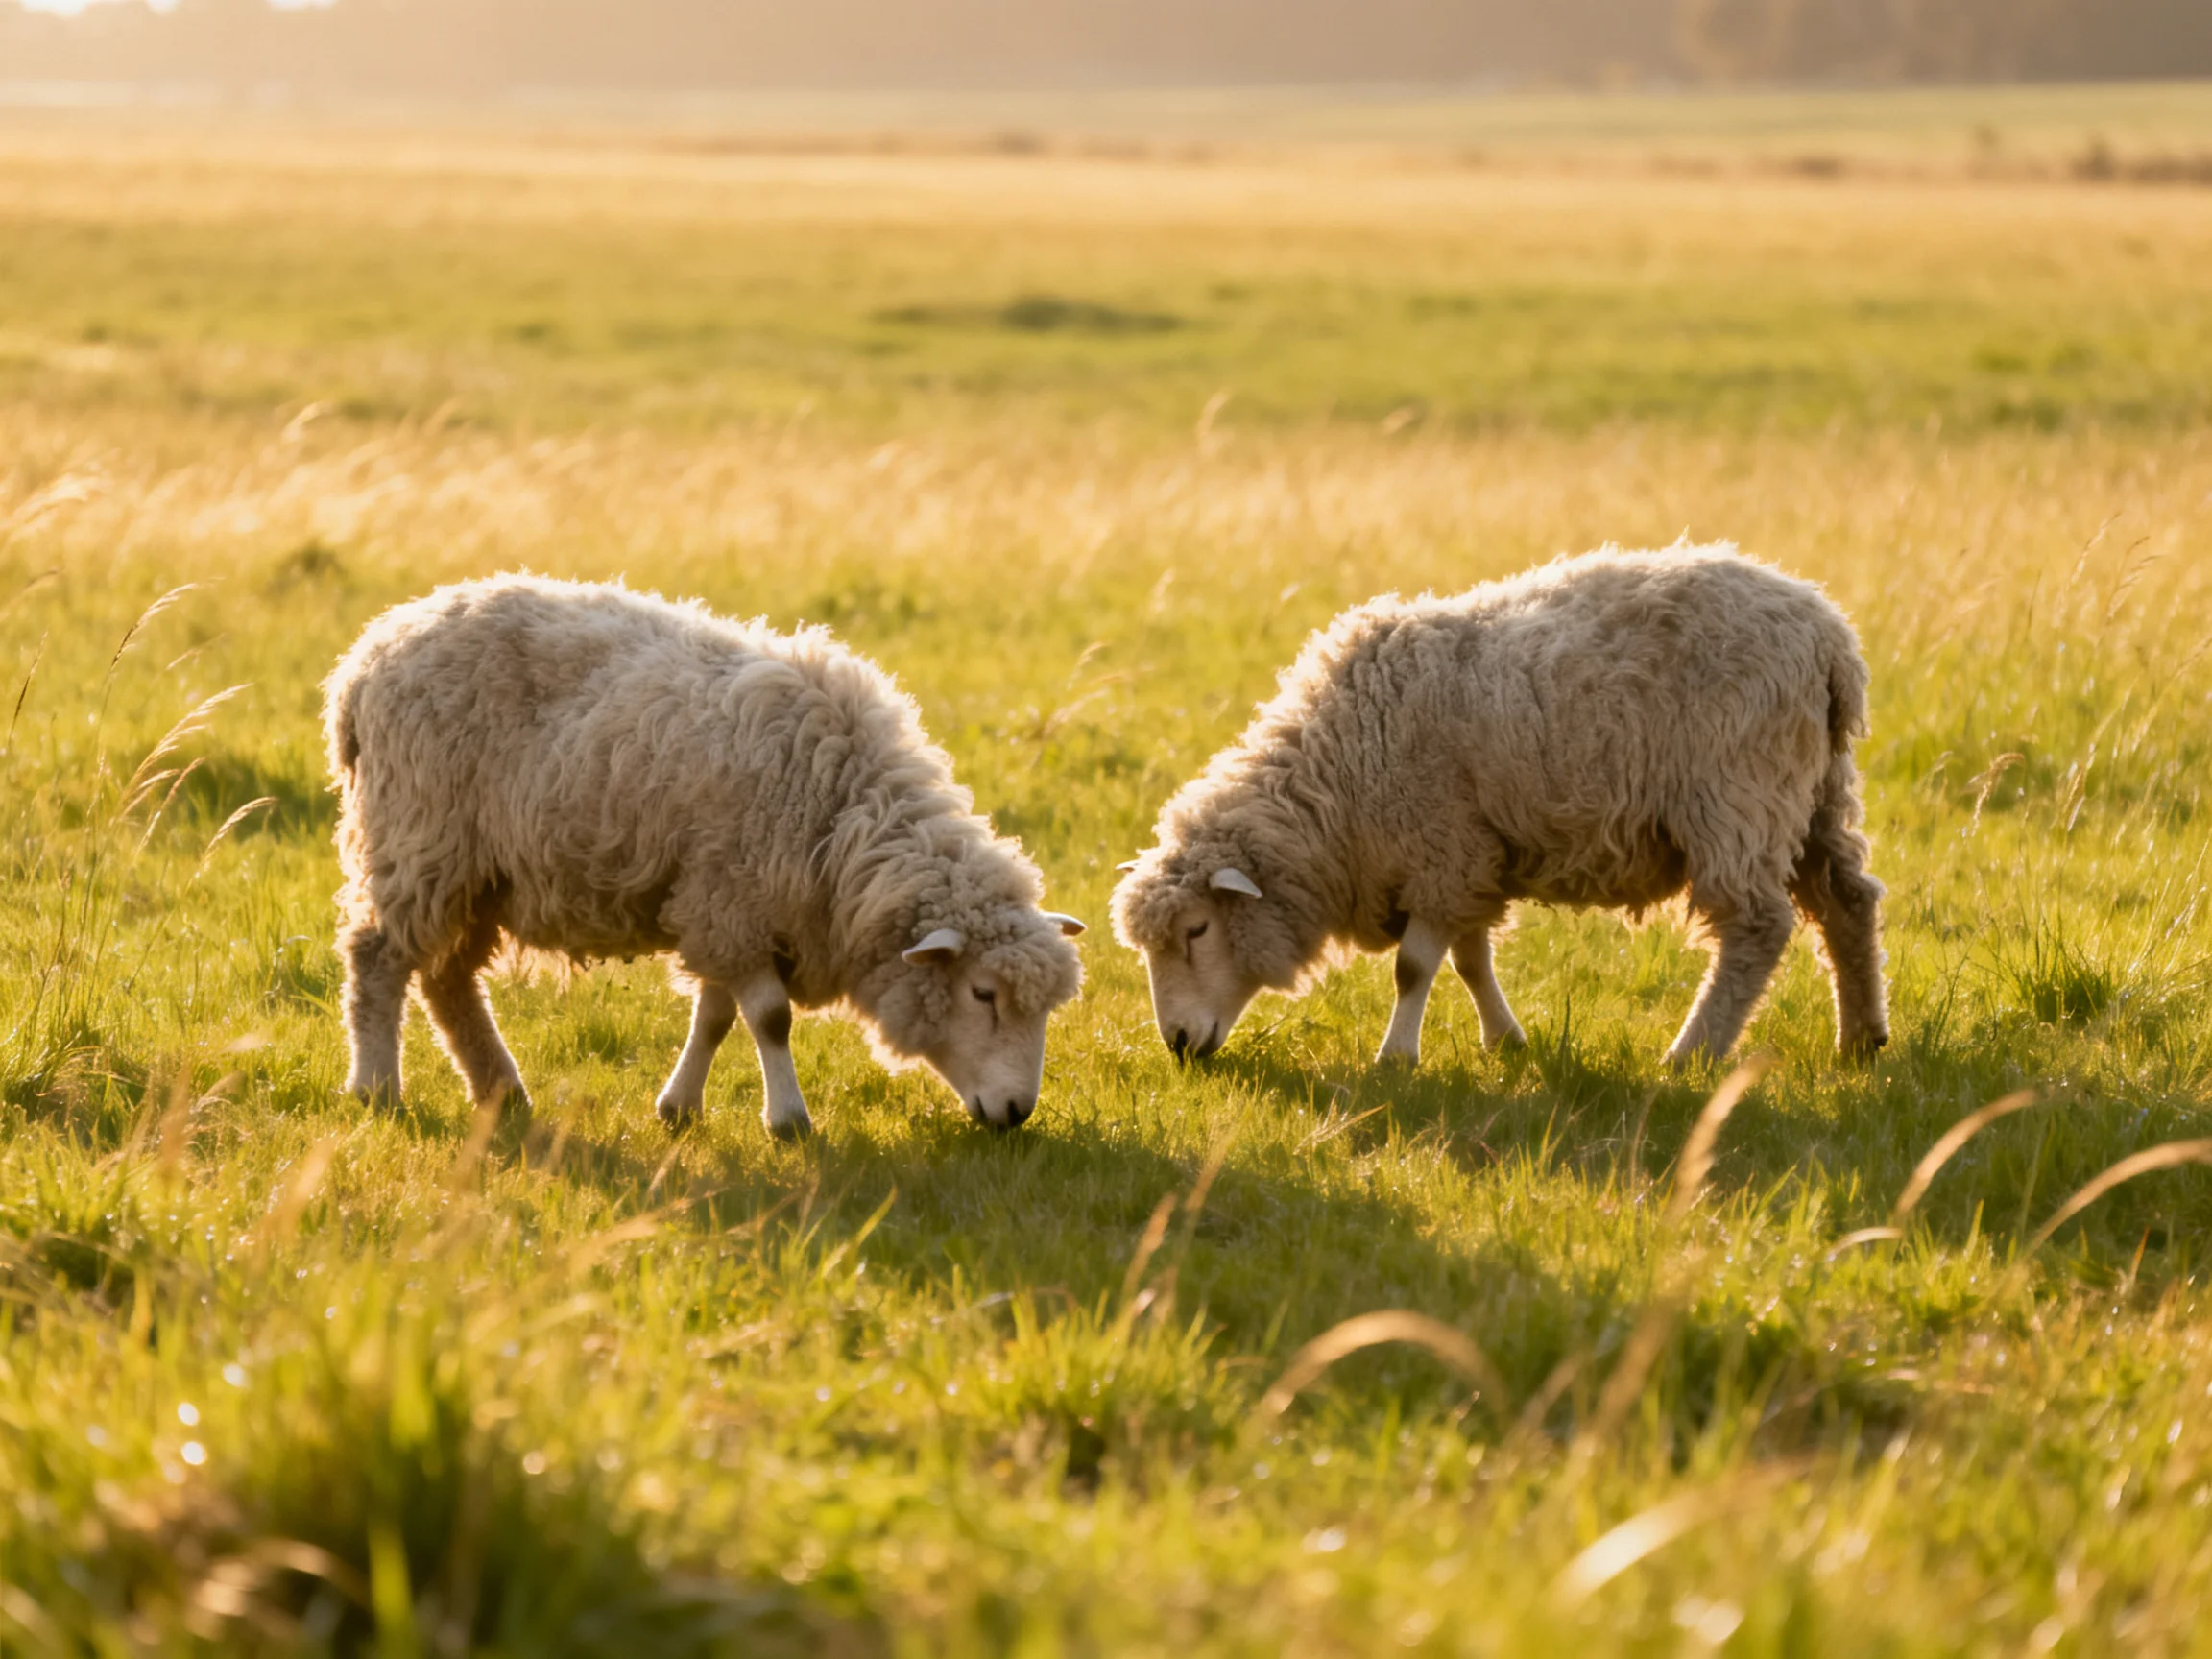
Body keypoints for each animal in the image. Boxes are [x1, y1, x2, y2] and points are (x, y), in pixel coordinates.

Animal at [323, 574, 1086, 1138]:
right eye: (982, 994)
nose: (1016, 1114)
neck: (842, 818)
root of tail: (364, 659)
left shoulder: (726, 905)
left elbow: (717, 1016)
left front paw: (679, 1108)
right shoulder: (730, 898)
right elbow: (771, 1018)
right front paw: (789, 1121)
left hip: (480, 870)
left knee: (447, 978)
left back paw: (501, 1088)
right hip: (418, 834)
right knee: (378, 957)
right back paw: (376, 1087)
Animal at [1111, 544, 1887, 1070]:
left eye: (1198, 930)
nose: (1177, 1044)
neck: (1335, 782)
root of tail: (1828, 639)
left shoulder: (1442, 848)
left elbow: (1414, 967)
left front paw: (1396, 1058)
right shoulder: (1470, 856)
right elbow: (1468, 961)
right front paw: (1505, 1041)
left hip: (1737, 790)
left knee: (1757, 927)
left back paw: (1691, 1051)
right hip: (1814, 793)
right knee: (1848, 901)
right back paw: (1861, 1037)